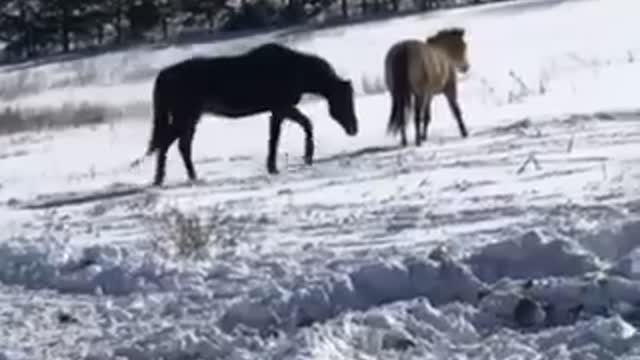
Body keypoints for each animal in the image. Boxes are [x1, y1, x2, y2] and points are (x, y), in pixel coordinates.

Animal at [142, 42, 358, 186]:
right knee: (167, 144)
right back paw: (159, 179)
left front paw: (273, 166)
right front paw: (305, 157)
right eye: (344, 101)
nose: (354, 129)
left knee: (182, 146)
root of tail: (164, 75)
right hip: (185, 116)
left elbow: (275, 137)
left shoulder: (278, 111)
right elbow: (299, 127)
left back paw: (192, 177)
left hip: (191, 117)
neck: (296, 69)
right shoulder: (282, 108)